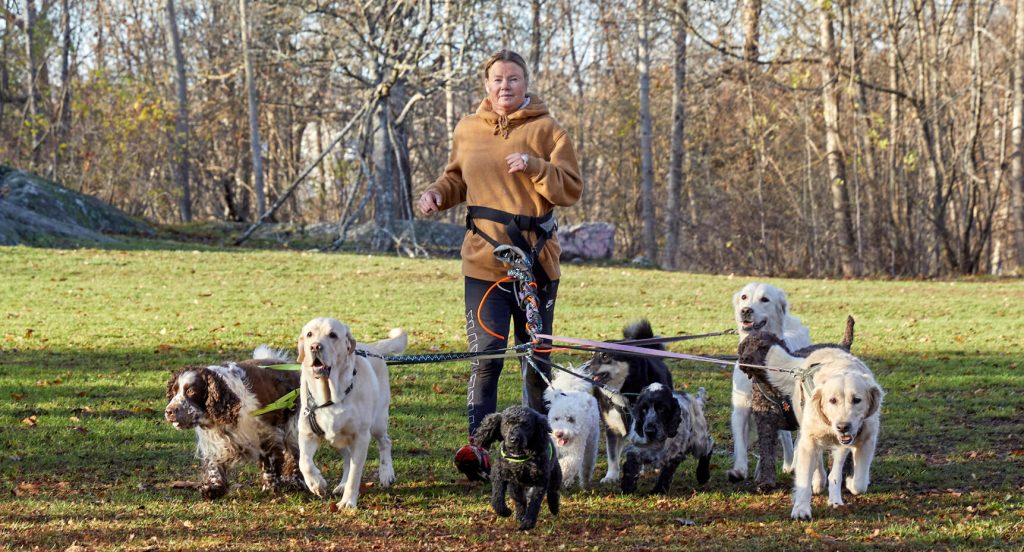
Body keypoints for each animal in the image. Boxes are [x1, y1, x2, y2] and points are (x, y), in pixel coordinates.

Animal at [294, 317, 405, 512]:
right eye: (309, 334)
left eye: (333, 335)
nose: (315, 347)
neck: (331, 396)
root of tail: (372, 347)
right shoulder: (307, 433)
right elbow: (304, 462)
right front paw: (316, 484)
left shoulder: (361, 437)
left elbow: (355, 472)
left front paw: (348, 502)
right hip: (337, 438)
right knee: (346, 457)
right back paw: (342, 484)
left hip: (378, 422)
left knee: (385, 442)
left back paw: (386, 474)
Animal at [589, 319, 675, 483]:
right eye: (592, 356)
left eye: (605, 356)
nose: (585, 367)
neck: (623, 391)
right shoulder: (612, 428)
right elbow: (612, 456)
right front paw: (611, 476)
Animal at [733, 282, 811, 481]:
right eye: (744, 297)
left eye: (765, 299)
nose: (746, 310)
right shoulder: (741, 406)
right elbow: (740, 442)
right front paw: (739, 469)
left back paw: (790, 463)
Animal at [737, 315, 856, 491]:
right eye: (744, 346)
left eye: (763, 347)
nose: (745, 359)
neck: (772, 386)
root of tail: (841, 346)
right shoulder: (766, 424)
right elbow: (767, 455)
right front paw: (766, 481)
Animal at [761, 346, 880, 522]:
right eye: (832, 400)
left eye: (857, 400)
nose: (843, 426)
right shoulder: (809, 441)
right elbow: (804, 480)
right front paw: (801, 509)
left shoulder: (867, 441)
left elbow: (860, 484)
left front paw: (850, 483)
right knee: (817, 461)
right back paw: (819, 480)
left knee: (835, 471)